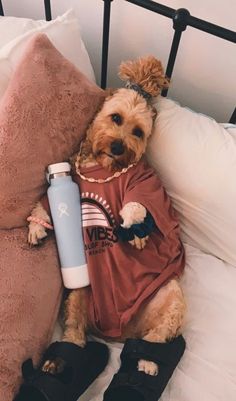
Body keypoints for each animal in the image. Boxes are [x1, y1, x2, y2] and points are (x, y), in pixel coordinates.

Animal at [28, 55, 186, 376]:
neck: (102, 167)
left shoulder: (146, 183)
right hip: (81, 291)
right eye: (116, 118)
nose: (117, 146)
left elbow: (142, 203)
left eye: (138, 132)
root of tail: (124, 333)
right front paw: (36, 226)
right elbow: (44, 205)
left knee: (159, 335)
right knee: (75, 331)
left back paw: (147, 359)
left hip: (171, 296)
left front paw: (134, 225)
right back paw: (64, 358)